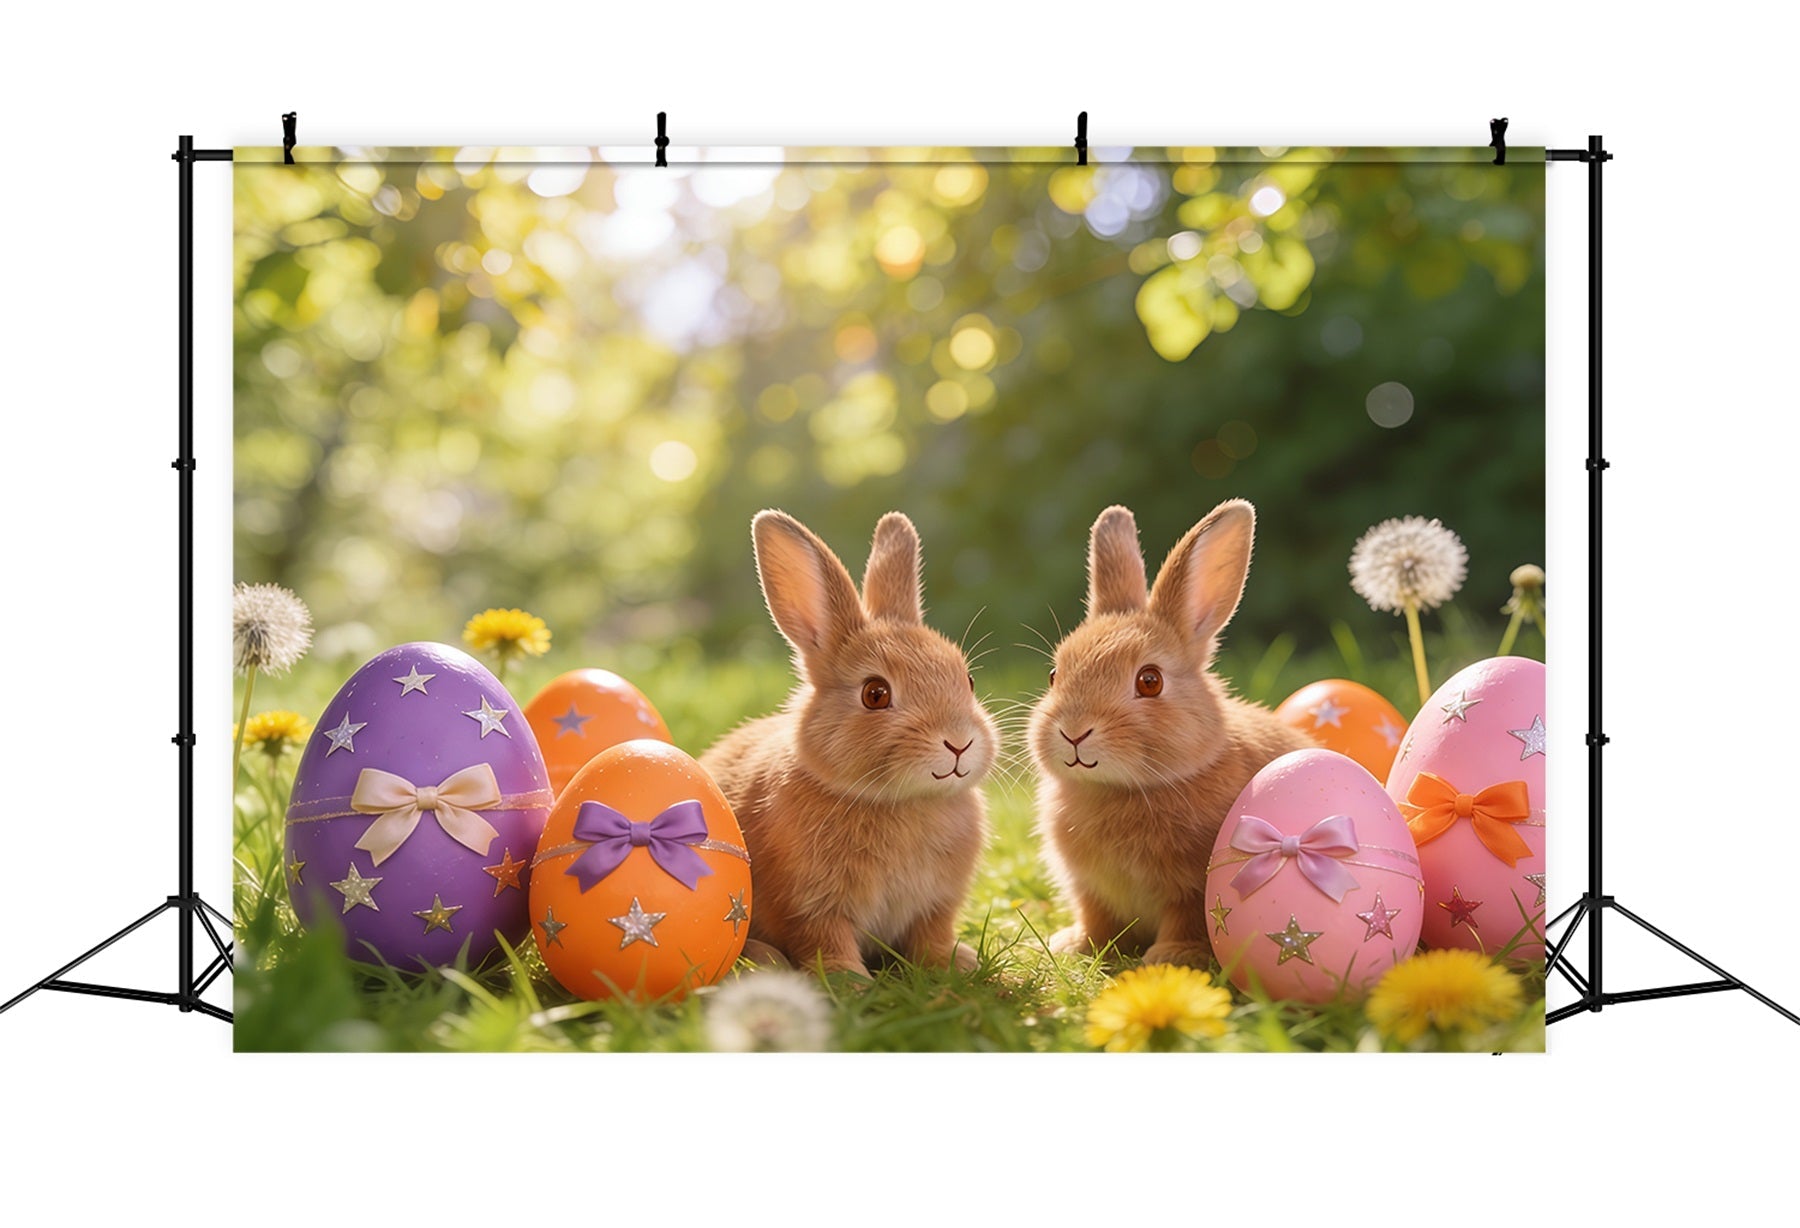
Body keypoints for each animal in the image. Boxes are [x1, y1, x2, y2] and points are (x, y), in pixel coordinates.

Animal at [700, 510, 998, 978]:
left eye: (967, 680)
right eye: (875, 694)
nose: (959, 743)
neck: (900, 802)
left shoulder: (936, 905)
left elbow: (932, 934)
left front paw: (955, 963)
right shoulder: (812, 904)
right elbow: (826, 938)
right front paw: (847, 979)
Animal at [1028, 500, 1311, 970]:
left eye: (1150, 681)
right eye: (1054, 674)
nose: (1073, 732)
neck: (1123, 789)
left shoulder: (1193, 886)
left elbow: (1188, 917)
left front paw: (1173, 957)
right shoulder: (1091, 889)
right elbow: (1096, 917)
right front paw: (1075, 945)